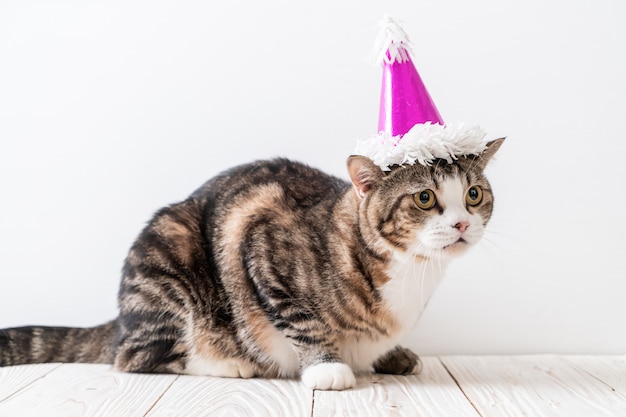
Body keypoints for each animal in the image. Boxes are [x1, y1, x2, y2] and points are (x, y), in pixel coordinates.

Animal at [0, 138, 502, 388]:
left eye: (474, 194)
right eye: (425, 198)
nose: (462, 223)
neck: (410, 271)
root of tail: (120, 318)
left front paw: (389, 354)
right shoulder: (261, 247)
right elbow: (302, 320)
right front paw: (327, 367)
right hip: (168, 253)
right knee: (135, 357)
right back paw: (228, 364)